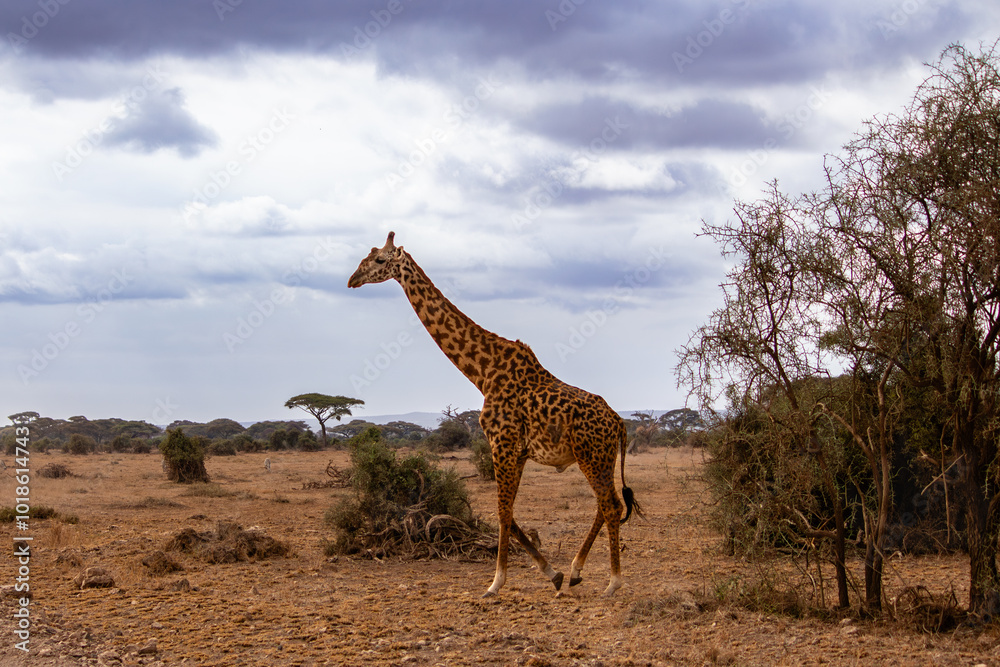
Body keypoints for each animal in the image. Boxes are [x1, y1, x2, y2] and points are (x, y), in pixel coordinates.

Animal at [348, 232, 642, 597]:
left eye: (378, 260)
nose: (352, 280)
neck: (483, 372)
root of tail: (619, 423)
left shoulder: (501, 443)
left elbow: (502, 512)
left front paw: (495, 583)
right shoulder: (518, 451)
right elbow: (509, 512)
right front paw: (552, 573)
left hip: (593, 456)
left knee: (611, 505)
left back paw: (613, 582)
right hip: (600, 457)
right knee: (606, 505)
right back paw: (575, 572)